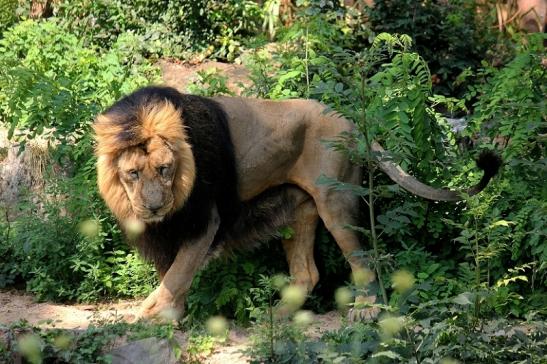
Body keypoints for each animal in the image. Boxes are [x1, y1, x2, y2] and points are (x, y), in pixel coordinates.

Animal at [93, 86, 500, 320]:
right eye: (132, 174)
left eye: (165, 169)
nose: (154, 207)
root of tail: (351, 122)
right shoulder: (168, 229)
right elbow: (173, 273)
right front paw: (171, 316)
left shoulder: (205, 219)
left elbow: (178, 272)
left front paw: (149, 313)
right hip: (298, 210)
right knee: (308, 273)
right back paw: (276, 316)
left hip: (335, 202)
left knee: (363, 261)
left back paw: (365, 312)